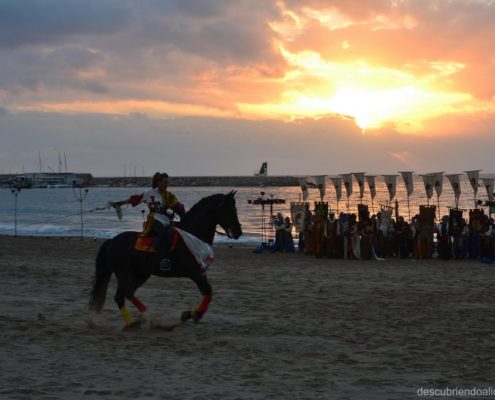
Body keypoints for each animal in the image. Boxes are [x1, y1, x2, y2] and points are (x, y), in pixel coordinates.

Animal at [90, 193, 244, 328]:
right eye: (230, 210)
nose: (238, 232)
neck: (193, 235)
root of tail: (112, 241)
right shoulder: (195, 272)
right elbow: (208, 291)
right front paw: (194, 314)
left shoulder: (199, 272)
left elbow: (208, 292)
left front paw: (190, 314)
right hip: (123, 273)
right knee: (119, 296)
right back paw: (132, 324)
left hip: (142, 274)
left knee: (129, 292)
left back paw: (148, 316)